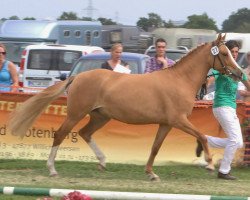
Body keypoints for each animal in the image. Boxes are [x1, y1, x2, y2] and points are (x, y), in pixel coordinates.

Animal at [7, 33, 242, 180]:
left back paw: (102, 162)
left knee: (85, 133)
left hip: (100, 116)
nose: (239, 73)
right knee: (60, 135)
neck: (180, 80)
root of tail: (77, 76)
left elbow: (155, 147)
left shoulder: (166, 124)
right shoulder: (179, 120)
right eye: (224, 54)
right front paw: (209, 163)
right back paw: (52, 170)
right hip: (76, 113)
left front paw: (151, 173)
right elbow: (202, 136)